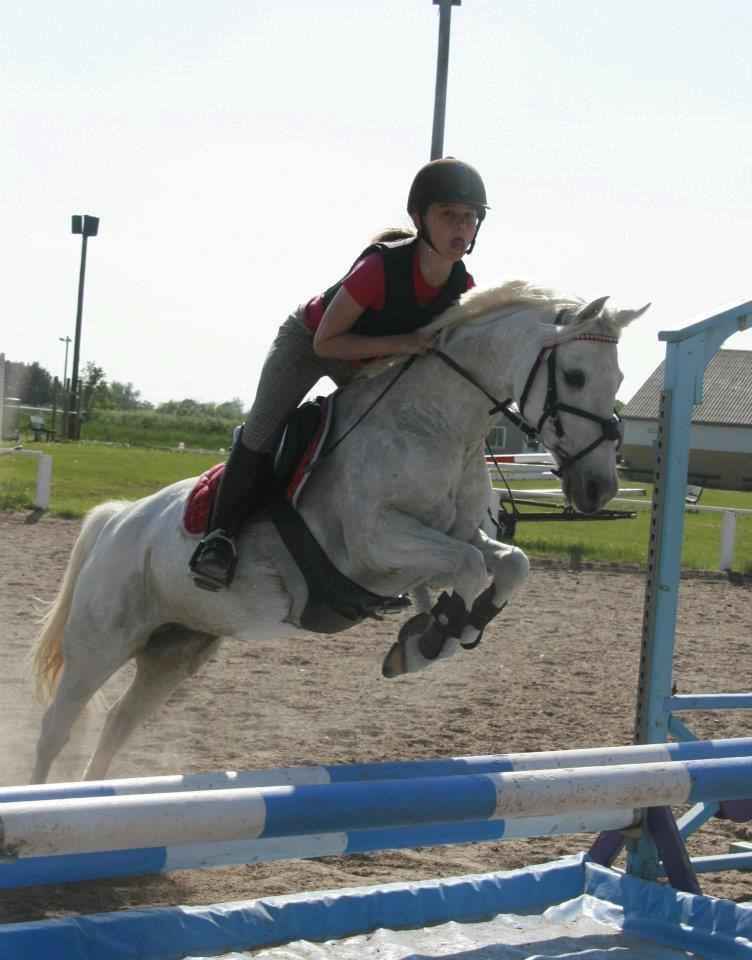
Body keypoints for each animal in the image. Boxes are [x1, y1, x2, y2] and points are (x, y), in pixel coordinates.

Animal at [29, 278, 648, 783]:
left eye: (619, 378)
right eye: (575, 376)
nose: (598, 487)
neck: (437, 426)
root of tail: (117, 520)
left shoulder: (458, 534)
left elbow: (510, 564)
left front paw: (442, 634)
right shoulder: (376, 544)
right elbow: (470, 570)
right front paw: (429, 638)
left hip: (175, 649)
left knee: (116, 723)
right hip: (102, 642)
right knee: (57, 726)